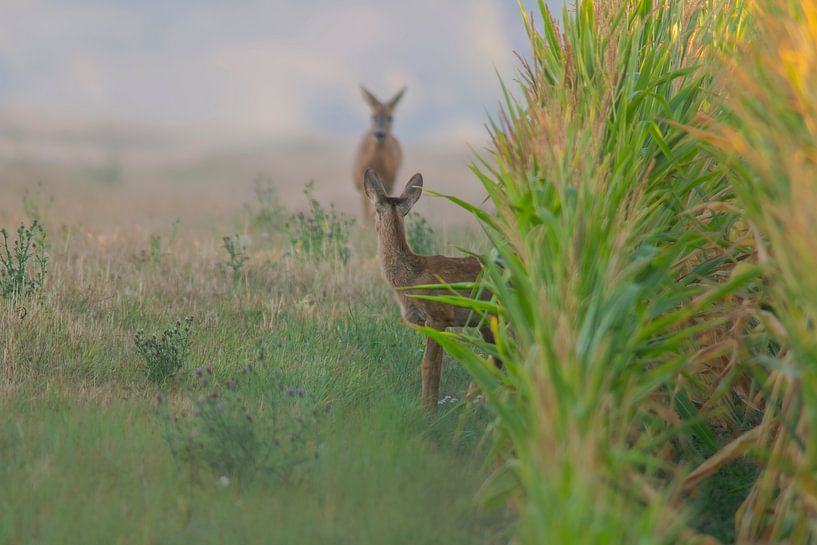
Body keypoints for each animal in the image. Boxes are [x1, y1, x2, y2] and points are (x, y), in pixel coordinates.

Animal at [353, 86, 406, 222]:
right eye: (373, 116)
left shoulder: (389, 183)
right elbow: (367, 213)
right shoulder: (362, 184)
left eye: (390, 117)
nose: (379, 134)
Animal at [363, 168, 499, 412]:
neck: (411, 276)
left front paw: (428, 411)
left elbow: (429, 366)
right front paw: (430, 406)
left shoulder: (438, 316)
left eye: (375, 212)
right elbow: (437, 364)